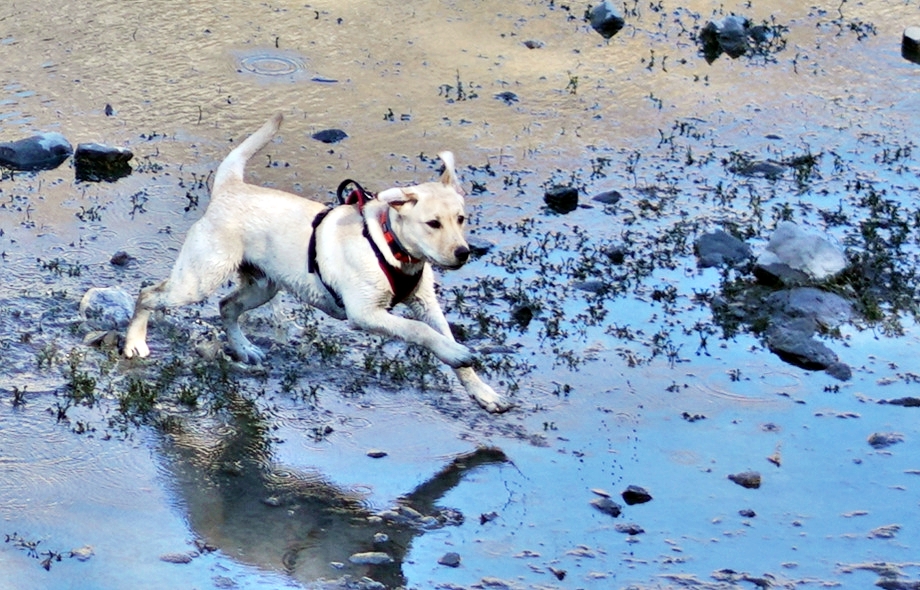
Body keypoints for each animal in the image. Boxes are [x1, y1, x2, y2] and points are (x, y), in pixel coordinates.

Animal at [124, 113, 511, 413]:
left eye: (460, 219)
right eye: (433, 223)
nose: (463, 253)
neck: (391, 248)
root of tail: (231, 188)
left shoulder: (425, 302)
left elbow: (440, 334)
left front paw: (483, 391)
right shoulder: (366, 313)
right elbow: (419, 332)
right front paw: (457, 354)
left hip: (262, 286)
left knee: (227, 306)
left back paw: (244, 348)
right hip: (199, 278)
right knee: (148, 294)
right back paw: (134, 343)